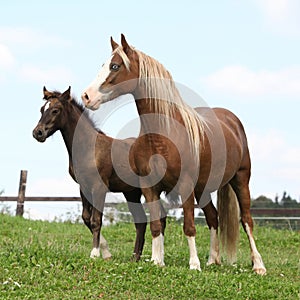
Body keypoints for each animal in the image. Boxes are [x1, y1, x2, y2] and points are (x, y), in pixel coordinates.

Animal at [32, 85, 169, 262]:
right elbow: (86, 218)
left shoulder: (99, 187)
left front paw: (95, 253)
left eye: (55, 110)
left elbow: (96, 220)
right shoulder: (84, 188)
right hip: (131, 192)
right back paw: (135, 258)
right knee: (142, 221)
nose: (38, 133)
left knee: (159, 217)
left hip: (149, 189)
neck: (88, 147)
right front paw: (106, 253)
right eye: (42, 109)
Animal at [81, 34, 266, 274]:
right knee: (213, 217)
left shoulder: (185, 186)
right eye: (103, 65)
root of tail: (232, 120)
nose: (87, 96)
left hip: (241, 180)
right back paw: (212, 259)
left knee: (246, 220)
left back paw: (258, 265)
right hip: (203, 189)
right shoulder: (149, 187)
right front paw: (157, 260)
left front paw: (194, 264)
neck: (163, 135)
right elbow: (156, 224)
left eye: (115, 66)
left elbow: (189, 226)